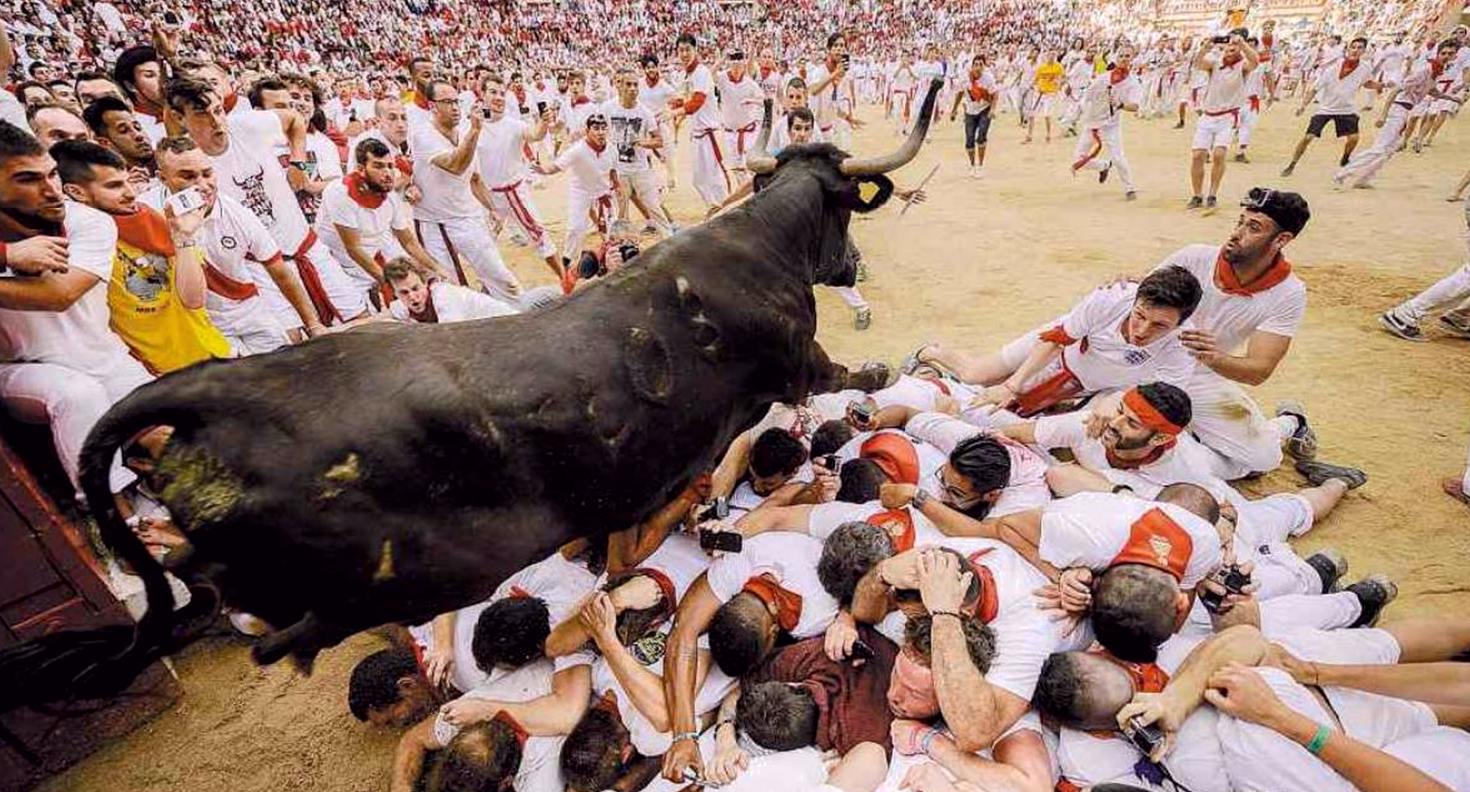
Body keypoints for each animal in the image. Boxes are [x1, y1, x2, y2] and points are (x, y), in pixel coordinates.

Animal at [8, 82, 940, 699]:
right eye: (843, 209)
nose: (850, 268)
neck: (755, 247)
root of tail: (221, 390)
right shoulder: (797, 359)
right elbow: (848, 376)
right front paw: (880, 372)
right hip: (396, 578)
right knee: (274, 627)